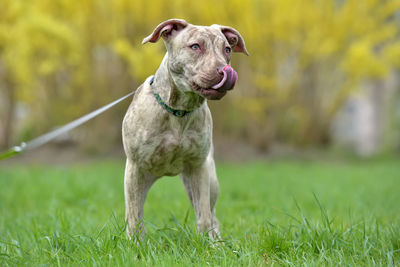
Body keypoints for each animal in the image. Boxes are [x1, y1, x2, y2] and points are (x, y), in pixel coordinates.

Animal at [122, 19, 247, 241]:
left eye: (227, 49)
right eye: (195, 46)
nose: (224, 70)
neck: (179, 111)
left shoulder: (198, 167)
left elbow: (204, 216)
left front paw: (207, 244)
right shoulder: (135, 168)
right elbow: (134, 216)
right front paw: (135, 244)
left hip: (209, 179)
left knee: (212, 214)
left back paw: (218, 242)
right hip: (142, 178)